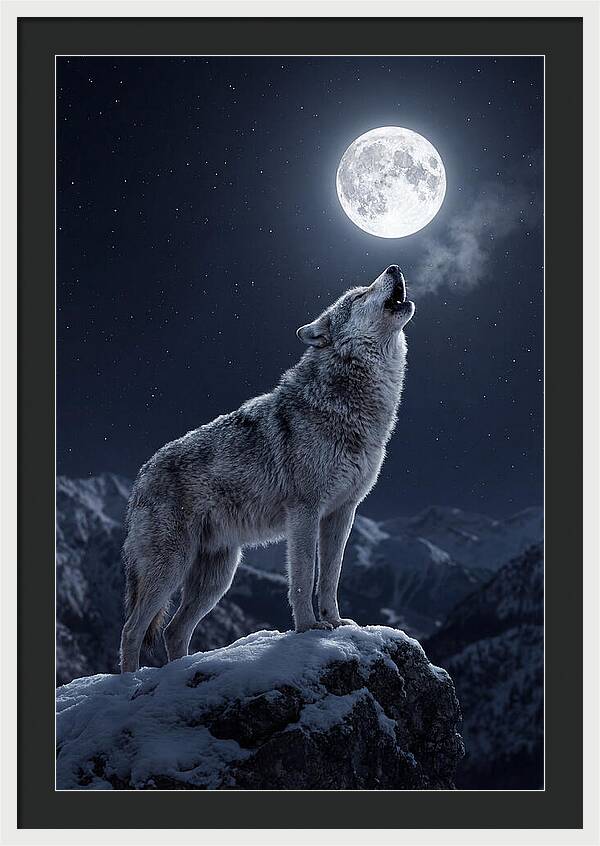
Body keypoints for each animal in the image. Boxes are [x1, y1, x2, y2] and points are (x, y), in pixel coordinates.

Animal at [119, 264, 415, 672]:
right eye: (359, 295)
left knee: (173, 631)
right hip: (169, 569)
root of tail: (141, 476)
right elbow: (303, 577)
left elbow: (331, 577)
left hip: (218, 577)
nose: (394, 268)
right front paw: (308, 628)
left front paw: (336, 622)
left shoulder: (342, 513)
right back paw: (129, 682)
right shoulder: (304, 512)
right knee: (132, 630)